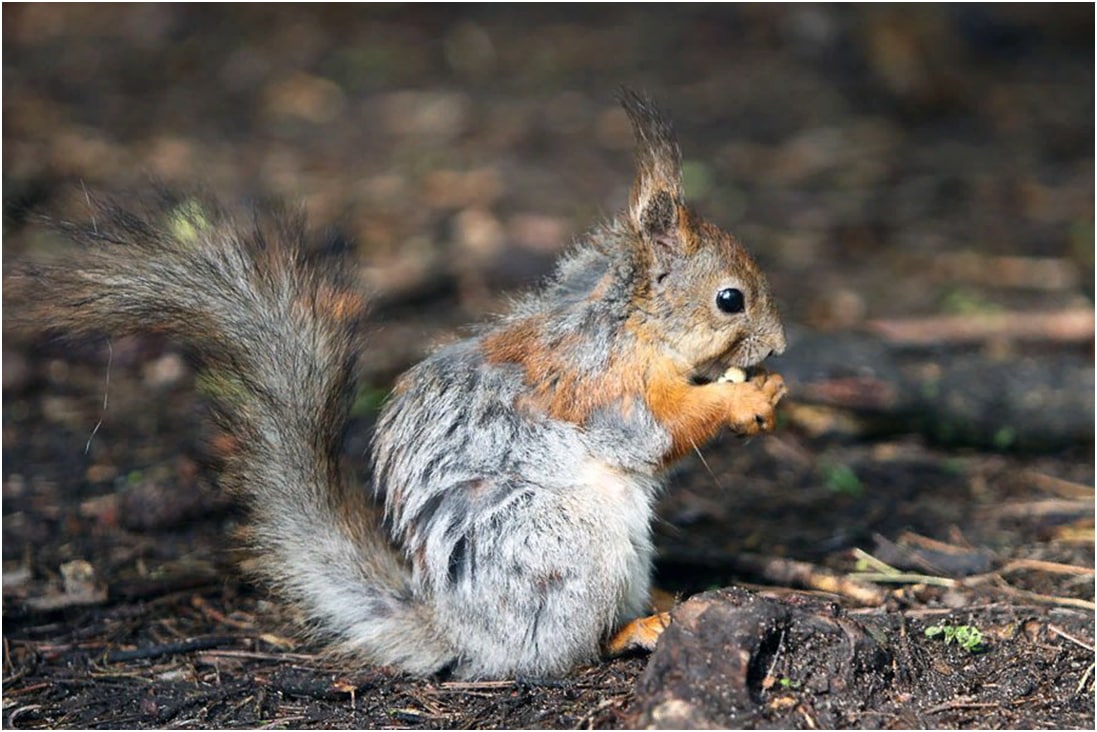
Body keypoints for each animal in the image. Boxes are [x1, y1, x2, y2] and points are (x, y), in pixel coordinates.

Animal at [2, 91, 789, 680]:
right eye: (730, 300)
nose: (780, 345)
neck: (632, 321)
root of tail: (465, 634)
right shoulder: (601, 383)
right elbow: (651, 431)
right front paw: (743, 397)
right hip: (564, 550)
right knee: (569, 650)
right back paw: (636, 628)